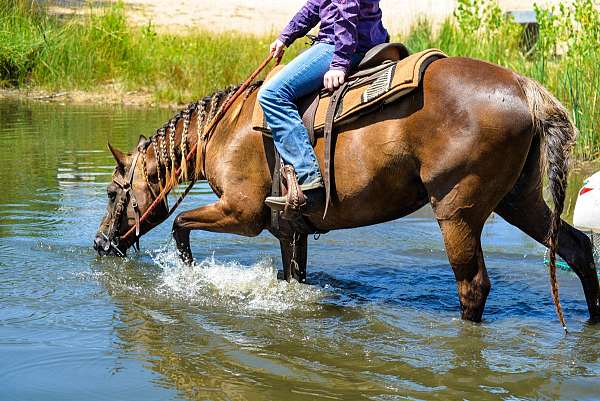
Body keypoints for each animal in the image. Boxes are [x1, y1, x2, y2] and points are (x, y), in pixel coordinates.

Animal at [94, 56, 600, 324]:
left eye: (114, 193)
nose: (99, 243)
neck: (226, 130)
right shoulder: (289, 231)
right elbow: (293, 276)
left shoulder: (243, 212)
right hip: (520, 200)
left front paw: (189, 273)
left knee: (473, 285)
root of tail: (525, 87)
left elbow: (180, 224)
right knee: (576, 247)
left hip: (458, 210)